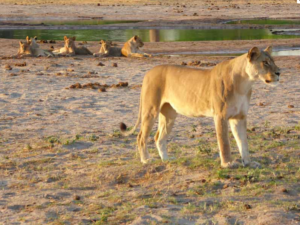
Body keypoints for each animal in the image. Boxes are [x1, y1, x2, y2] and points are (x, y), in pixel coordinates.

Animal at [120, 46, 280, 169]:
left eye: (273, 61)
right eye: (265, 62)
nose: (279, 72)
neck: (244, 83)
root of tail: (148, 72)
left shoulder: (239, 117)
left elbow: (243, 142)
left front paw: (248, 163)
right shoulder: (220, 115)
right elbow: (224, 142)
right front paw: (227, 164)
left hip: (169, 115)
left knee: (158, 137)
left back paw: (166, 159)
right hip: (150, 111)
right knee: (141, 137)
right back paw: (146, 160)